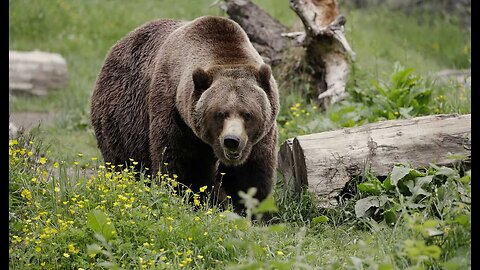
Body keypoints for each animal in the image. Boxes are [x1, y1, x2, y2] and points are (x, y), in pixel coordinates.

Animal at [89, 15, 282, 214]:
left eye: (247, 114)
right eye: (220, 113)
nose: (232, 141)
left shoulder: (260, 137)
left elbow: (250, 174)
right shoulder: (175, 113)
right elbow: (185, 167)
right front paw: (200, 201)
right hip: (123, 117)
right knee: (125, 161)